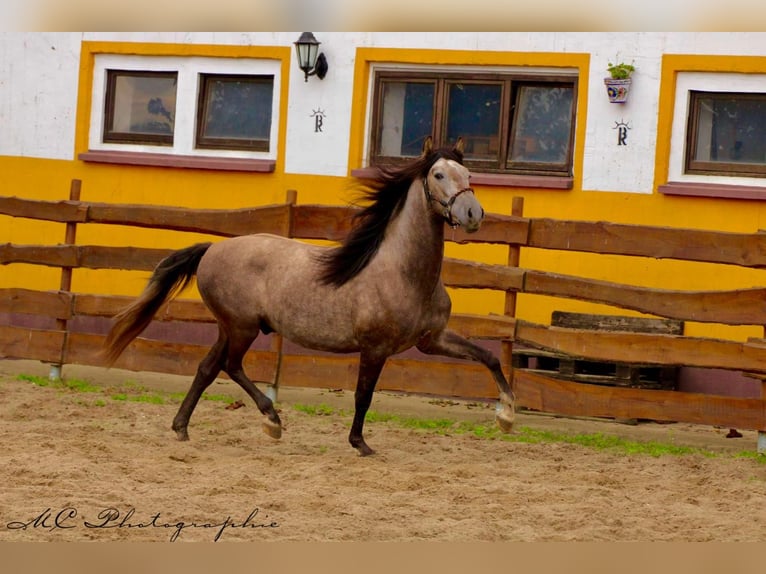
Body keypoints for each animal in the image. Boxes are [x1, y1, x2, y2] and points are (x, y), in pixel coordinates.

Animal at [102, 138, 516, 456]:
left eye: (469, 175)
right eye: (438, 174)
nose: (472, 213)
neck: (404, 273)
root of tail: (212, 249)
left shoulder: (432, 340)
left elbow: (490, 357)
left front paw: (507, 416)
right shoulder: (375, 348)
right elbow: (363, 395)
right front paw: (360, 444)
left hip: (228, 327)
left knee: (207, 368)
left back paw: (182, 427)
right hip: (241, 327)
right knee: (231, 366)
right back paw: (272, 421)